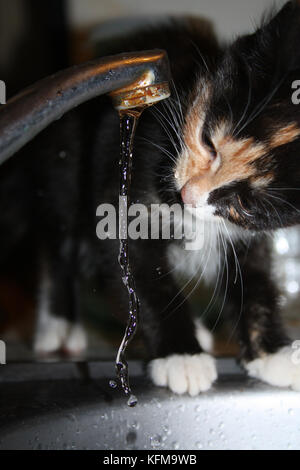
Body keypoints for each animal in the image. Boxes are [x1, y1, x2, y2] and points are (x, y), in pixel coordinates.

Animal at [0, 0, 300, 394]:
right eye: (208, 141)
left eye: (247, 203)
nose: (190, 194)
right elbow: (140, 273)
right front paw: (181, 356)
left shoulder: (245, 230)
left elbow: (253, 273)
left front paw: (273, 353)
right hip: (64, 159)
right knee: (58, 243)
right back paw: (59, 324)